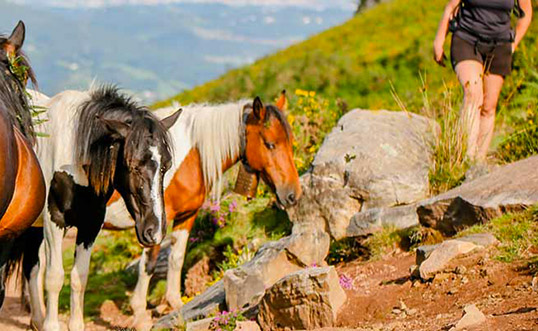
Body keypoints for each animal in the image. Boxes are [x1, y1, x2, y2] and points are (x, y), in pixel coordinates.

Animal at [18, 86, 180, 331]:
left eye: (166, 166)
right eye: (133, 164)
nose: (155, 231)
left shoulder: (90, 226)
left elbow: (79, 277)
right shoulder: (54, 222)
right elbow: (54, 277)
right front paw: (51, 325)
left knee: (31, 267)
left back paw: (36, 320)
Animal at [102, 92, 300, 330]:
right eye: (270, 144)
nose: (293, 194)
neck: (187, 157)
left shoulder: (186, 216)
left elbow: (176, 258)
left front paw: (175, 303)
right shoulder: (155, 221)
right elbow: (148, 265)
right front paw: (140, 315)